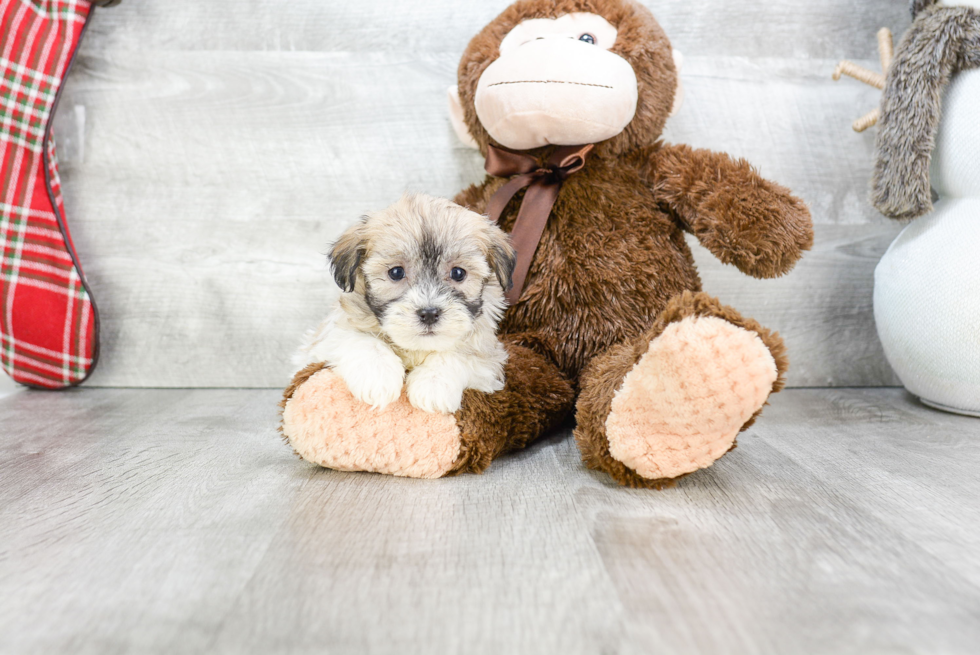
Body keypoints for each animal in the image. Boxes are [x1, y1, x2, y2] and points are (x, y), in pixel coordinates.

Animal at [292, 192, 516, 412]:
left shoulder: (489, 354)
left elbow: (460, 355)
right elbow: (360, 340)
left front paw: (433, 385)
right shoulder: (325, 338)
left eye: (458, 273)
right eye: (396, 272)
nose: (429, 313)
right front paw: (378, 377)